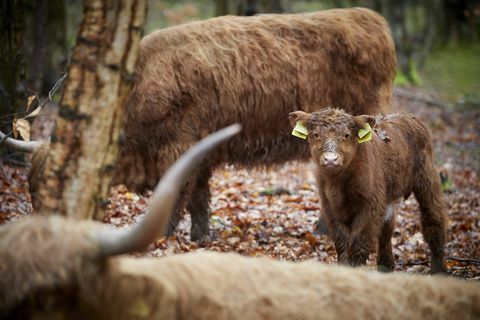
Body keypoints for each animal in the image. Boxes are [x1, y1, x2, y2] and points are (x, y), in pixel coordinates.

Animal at [290, 107, 448, 272]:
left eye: (347, 135)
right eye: (316, 134)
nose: (331, 159)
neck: (338, 184)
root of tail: (410, 117)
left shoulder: (371, 203)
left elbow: (359, 242)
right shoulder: (330, 206)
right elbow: (341, 241)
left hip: (427, 176)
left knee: (434, 217)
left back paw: (437, 270)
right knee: (387, 228)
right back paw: (385, 267)